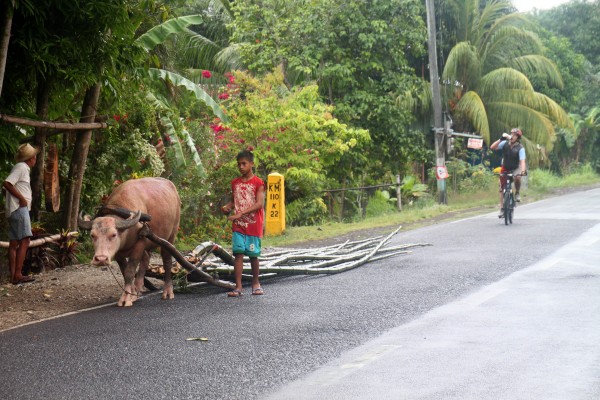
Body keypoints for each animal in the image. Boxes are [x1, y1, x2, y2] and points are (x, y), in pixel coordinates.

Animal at [78, 178, 179, 306]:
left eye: (113, 235)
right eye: (92, 235)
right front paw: (132, 293)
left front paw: (126, 298)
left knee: (167, 261)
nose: (101, 259)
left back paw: (168, 291)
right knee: (146, 260)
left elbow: (130, 271)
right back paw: (137, 290)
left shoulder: (140, 244)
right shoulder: (118, 253)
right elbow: (124, 271)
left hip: (170, 236)